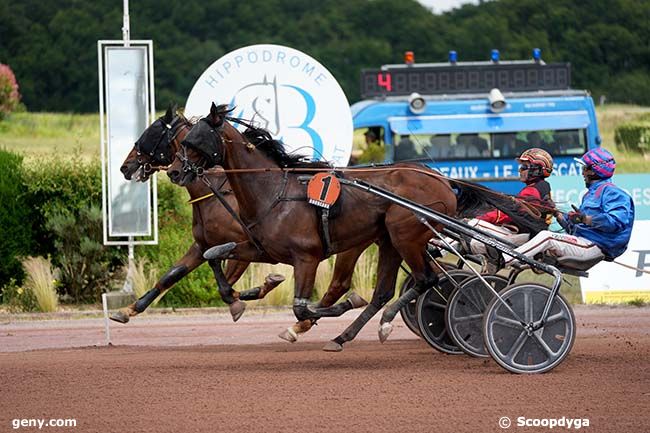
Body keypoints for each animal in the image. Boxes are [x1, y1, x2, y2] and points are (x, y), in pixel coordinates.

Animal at [116, 106, 370, 330]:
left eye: (150, 134)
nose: (125, 167)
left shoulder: (244, 245)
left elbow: (226, 283)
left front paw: (255, 291)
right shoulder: (203, 244)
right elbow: (173, 275)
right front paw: (129, 309)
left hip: (351, 244)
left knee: (337, 284)